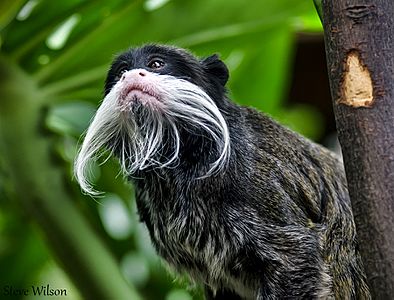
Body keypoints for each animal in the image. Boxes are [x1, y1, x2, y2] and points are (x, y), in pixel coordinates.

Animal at [73, 43, 370, 298]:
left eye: (155, 64)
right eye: (120, 73)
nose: (131, 75)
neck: (185, 160)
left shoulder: (256, 183)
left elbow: (296, 257)